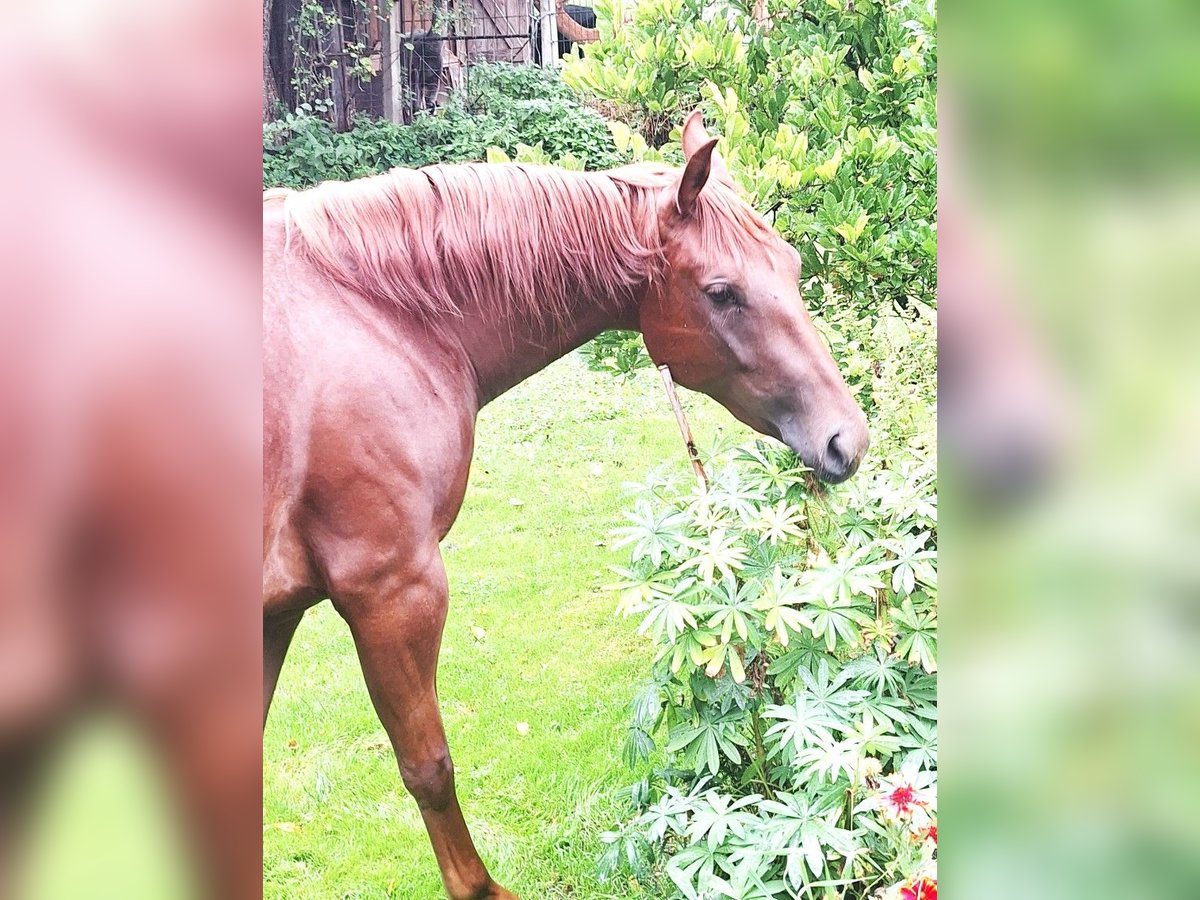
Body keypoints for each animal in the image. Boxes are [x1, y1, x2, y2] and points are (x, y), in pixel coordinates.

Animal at [262, 111, 869, 899]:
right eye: (722, 293)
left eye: (792, 268)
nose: (846, 438)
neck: (382, 313)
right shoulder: (391, 590)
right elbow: (429, 767)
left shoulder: (277, 613)